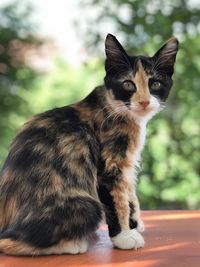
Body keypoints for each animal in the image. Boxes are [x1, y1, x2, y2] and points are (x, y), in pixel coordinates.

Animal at [0, 33, 178, 255]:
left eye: (155, 84)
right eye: (128, 84)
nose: (144, 102)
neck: (113, 106)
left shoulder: (127, 164)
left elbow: (129, 192)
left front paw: (134, 223)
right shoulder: (109, 167)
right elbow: (117, 200)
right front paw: (124, 237)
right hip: (88, 205)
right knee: (8, 242)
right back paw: (73, 243)